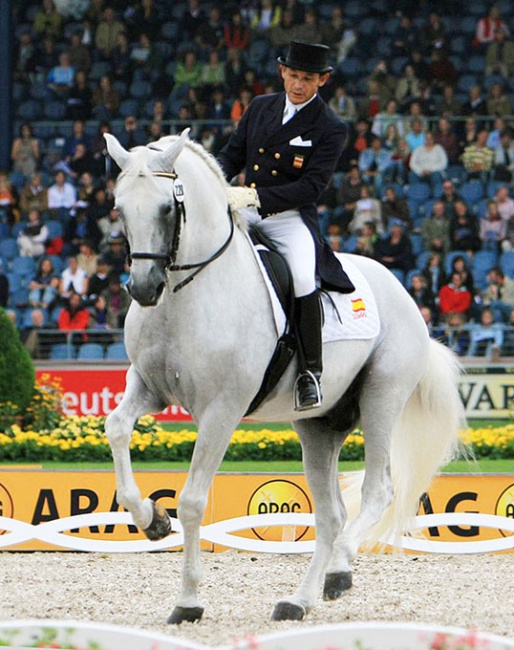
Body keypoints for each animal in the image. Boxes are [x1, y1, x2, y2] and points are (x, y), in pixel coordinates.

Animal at [102, 130, 462, 624]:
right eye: (119, 209)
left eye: (166, 208)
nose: (142, 288)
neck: (185, 295)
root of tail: (401, 290)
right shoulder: (149, 387)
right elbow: (116, 428)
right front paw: (151, 520)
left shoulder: (221, 410)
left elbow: (193, 501)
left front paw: (188, 601)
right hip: (319, 426)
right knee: (331, 514)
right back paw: (302, 597)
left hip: (381, 400)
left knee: (377, 491)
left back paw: (339, 569)